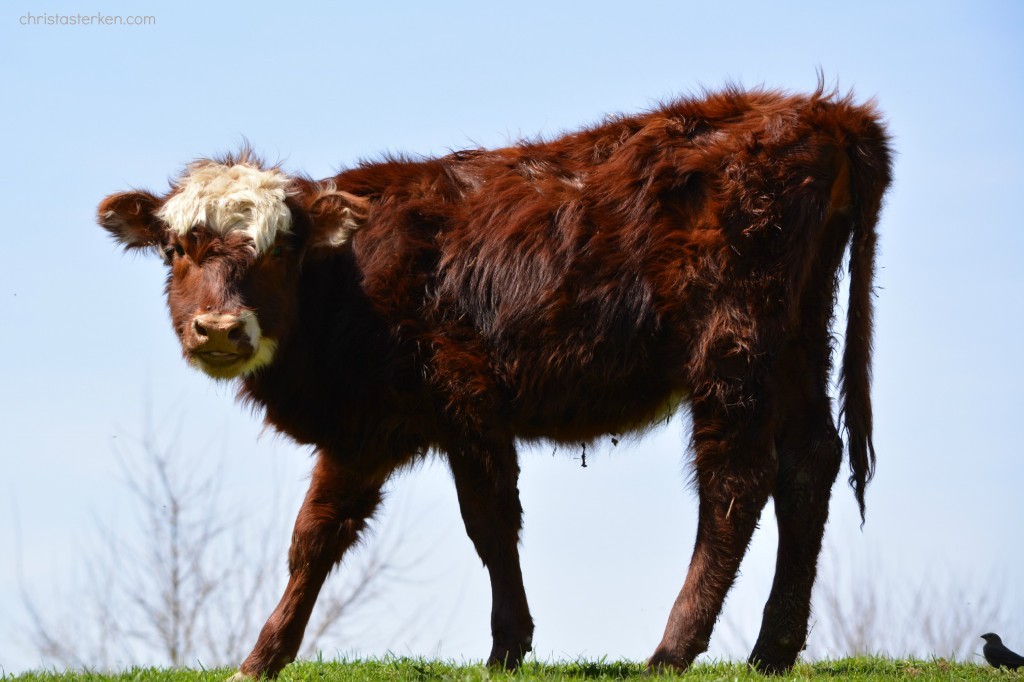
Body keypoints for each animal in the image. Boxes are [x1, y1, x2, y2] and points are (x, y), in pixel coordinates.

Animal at [99, 86, 892, 675]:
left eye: (276, 249)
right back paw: (773, 649)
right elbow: (315, 536)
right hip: (799, 336)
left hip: (733, 345)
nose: (219, 329)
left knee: (736, 483)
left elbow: (488, 523)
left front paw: (508, 646)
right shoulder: (368, 429)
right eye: (177, 249)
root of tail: (819, 111)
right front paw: (264, 658)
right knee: (809, 463)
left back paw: (674, 648)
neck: (346, 278)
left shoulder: (462, 400)